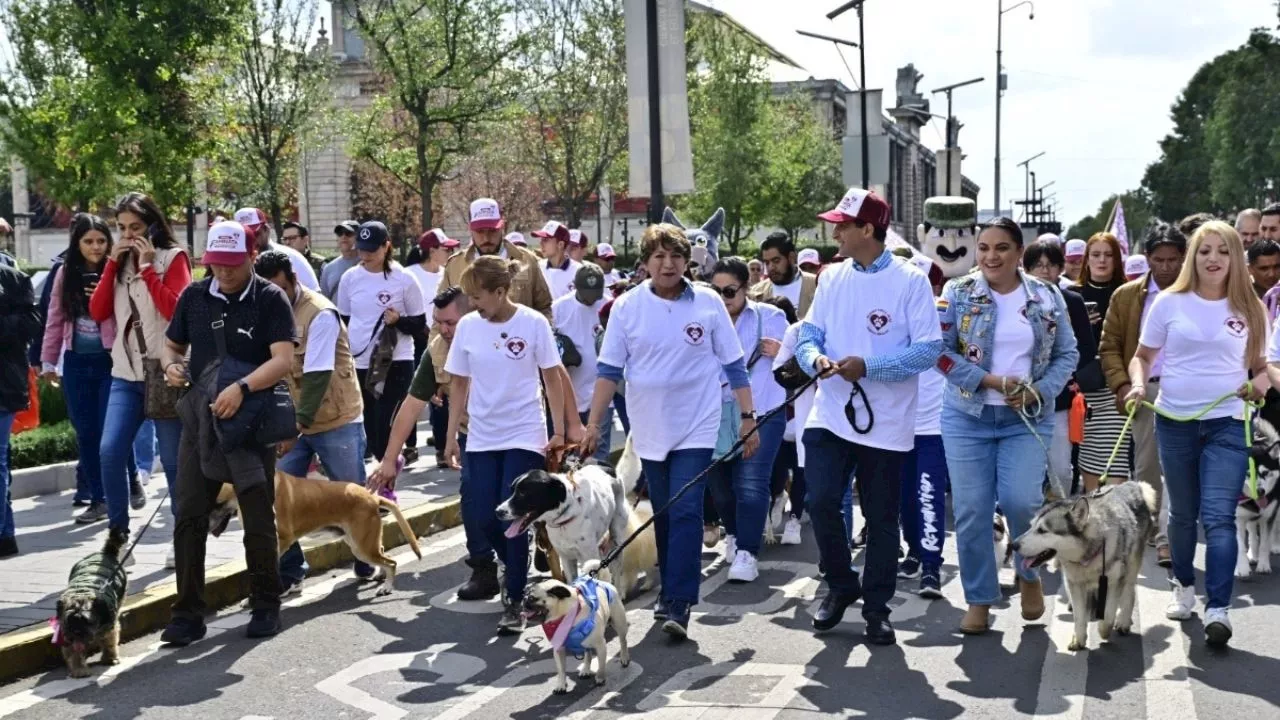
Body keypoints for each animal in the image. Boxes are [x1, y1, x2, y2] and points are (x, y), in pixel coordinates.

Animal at [209, 468, 424, 591]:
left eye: (217, 503)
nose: (208, 528)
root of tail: (372, 497)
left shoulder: (283, 538)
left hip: (362, 547)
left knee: (392, 563)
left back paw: (386, 587)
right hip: (360, 543)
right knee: (383, 554)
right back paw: (380, 575)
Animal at [1013, 479, 1157, 648]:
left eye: (1042, 530)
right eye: (1031, 527)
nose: (1014, 545)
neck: (1087, 557)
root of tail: (1133, 484)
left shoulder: (1114, 582)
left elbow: (1108, 613)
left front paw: (1104, 630)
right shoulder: (1075, 583)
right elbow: (1079, 616)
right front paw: (1079, 639)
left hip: (1131, 565)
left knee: (1129, 592)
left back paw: (1123, 621)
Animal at [1228, 417, 1280, 573]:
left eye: (1266, 473)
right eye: (1248, 474)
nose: (1260, 491)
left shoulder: (1268, 517)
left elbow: (1265, 543)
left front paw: (1263, 565)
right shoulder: (1238, 518)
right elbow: (1240, 545)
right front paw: (1242, 568)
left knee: (1275, 528)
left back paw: (1275, 546)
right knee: (1252, 534)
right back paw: (1252, 555)